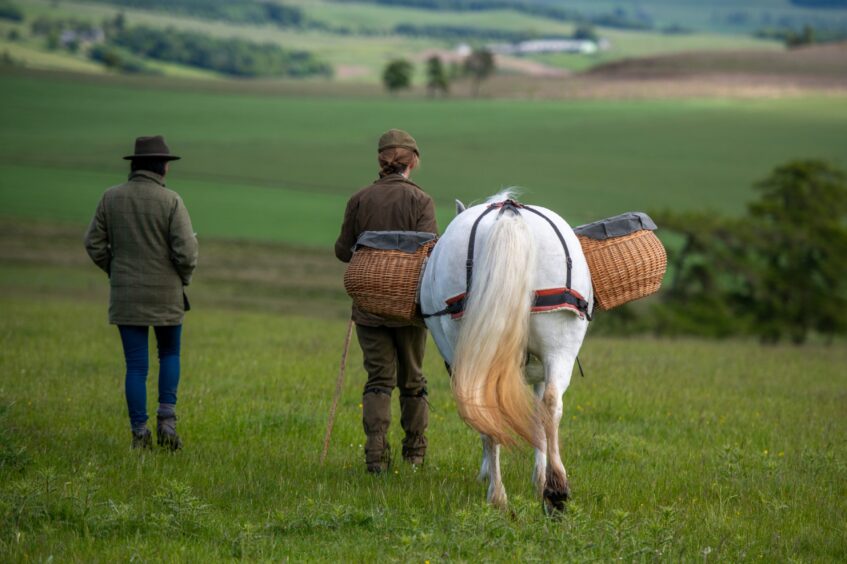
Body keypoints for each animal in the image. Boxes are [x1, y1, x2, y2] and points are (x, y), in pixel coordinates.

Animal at [420, 192, 592, 512]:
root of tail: (509, 215)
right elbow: (539, 415)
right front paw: (541, 480)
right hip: (561, 343)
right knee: (552, 404)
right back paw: (556, 489)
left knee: (484, 406)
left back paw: (498, 494)